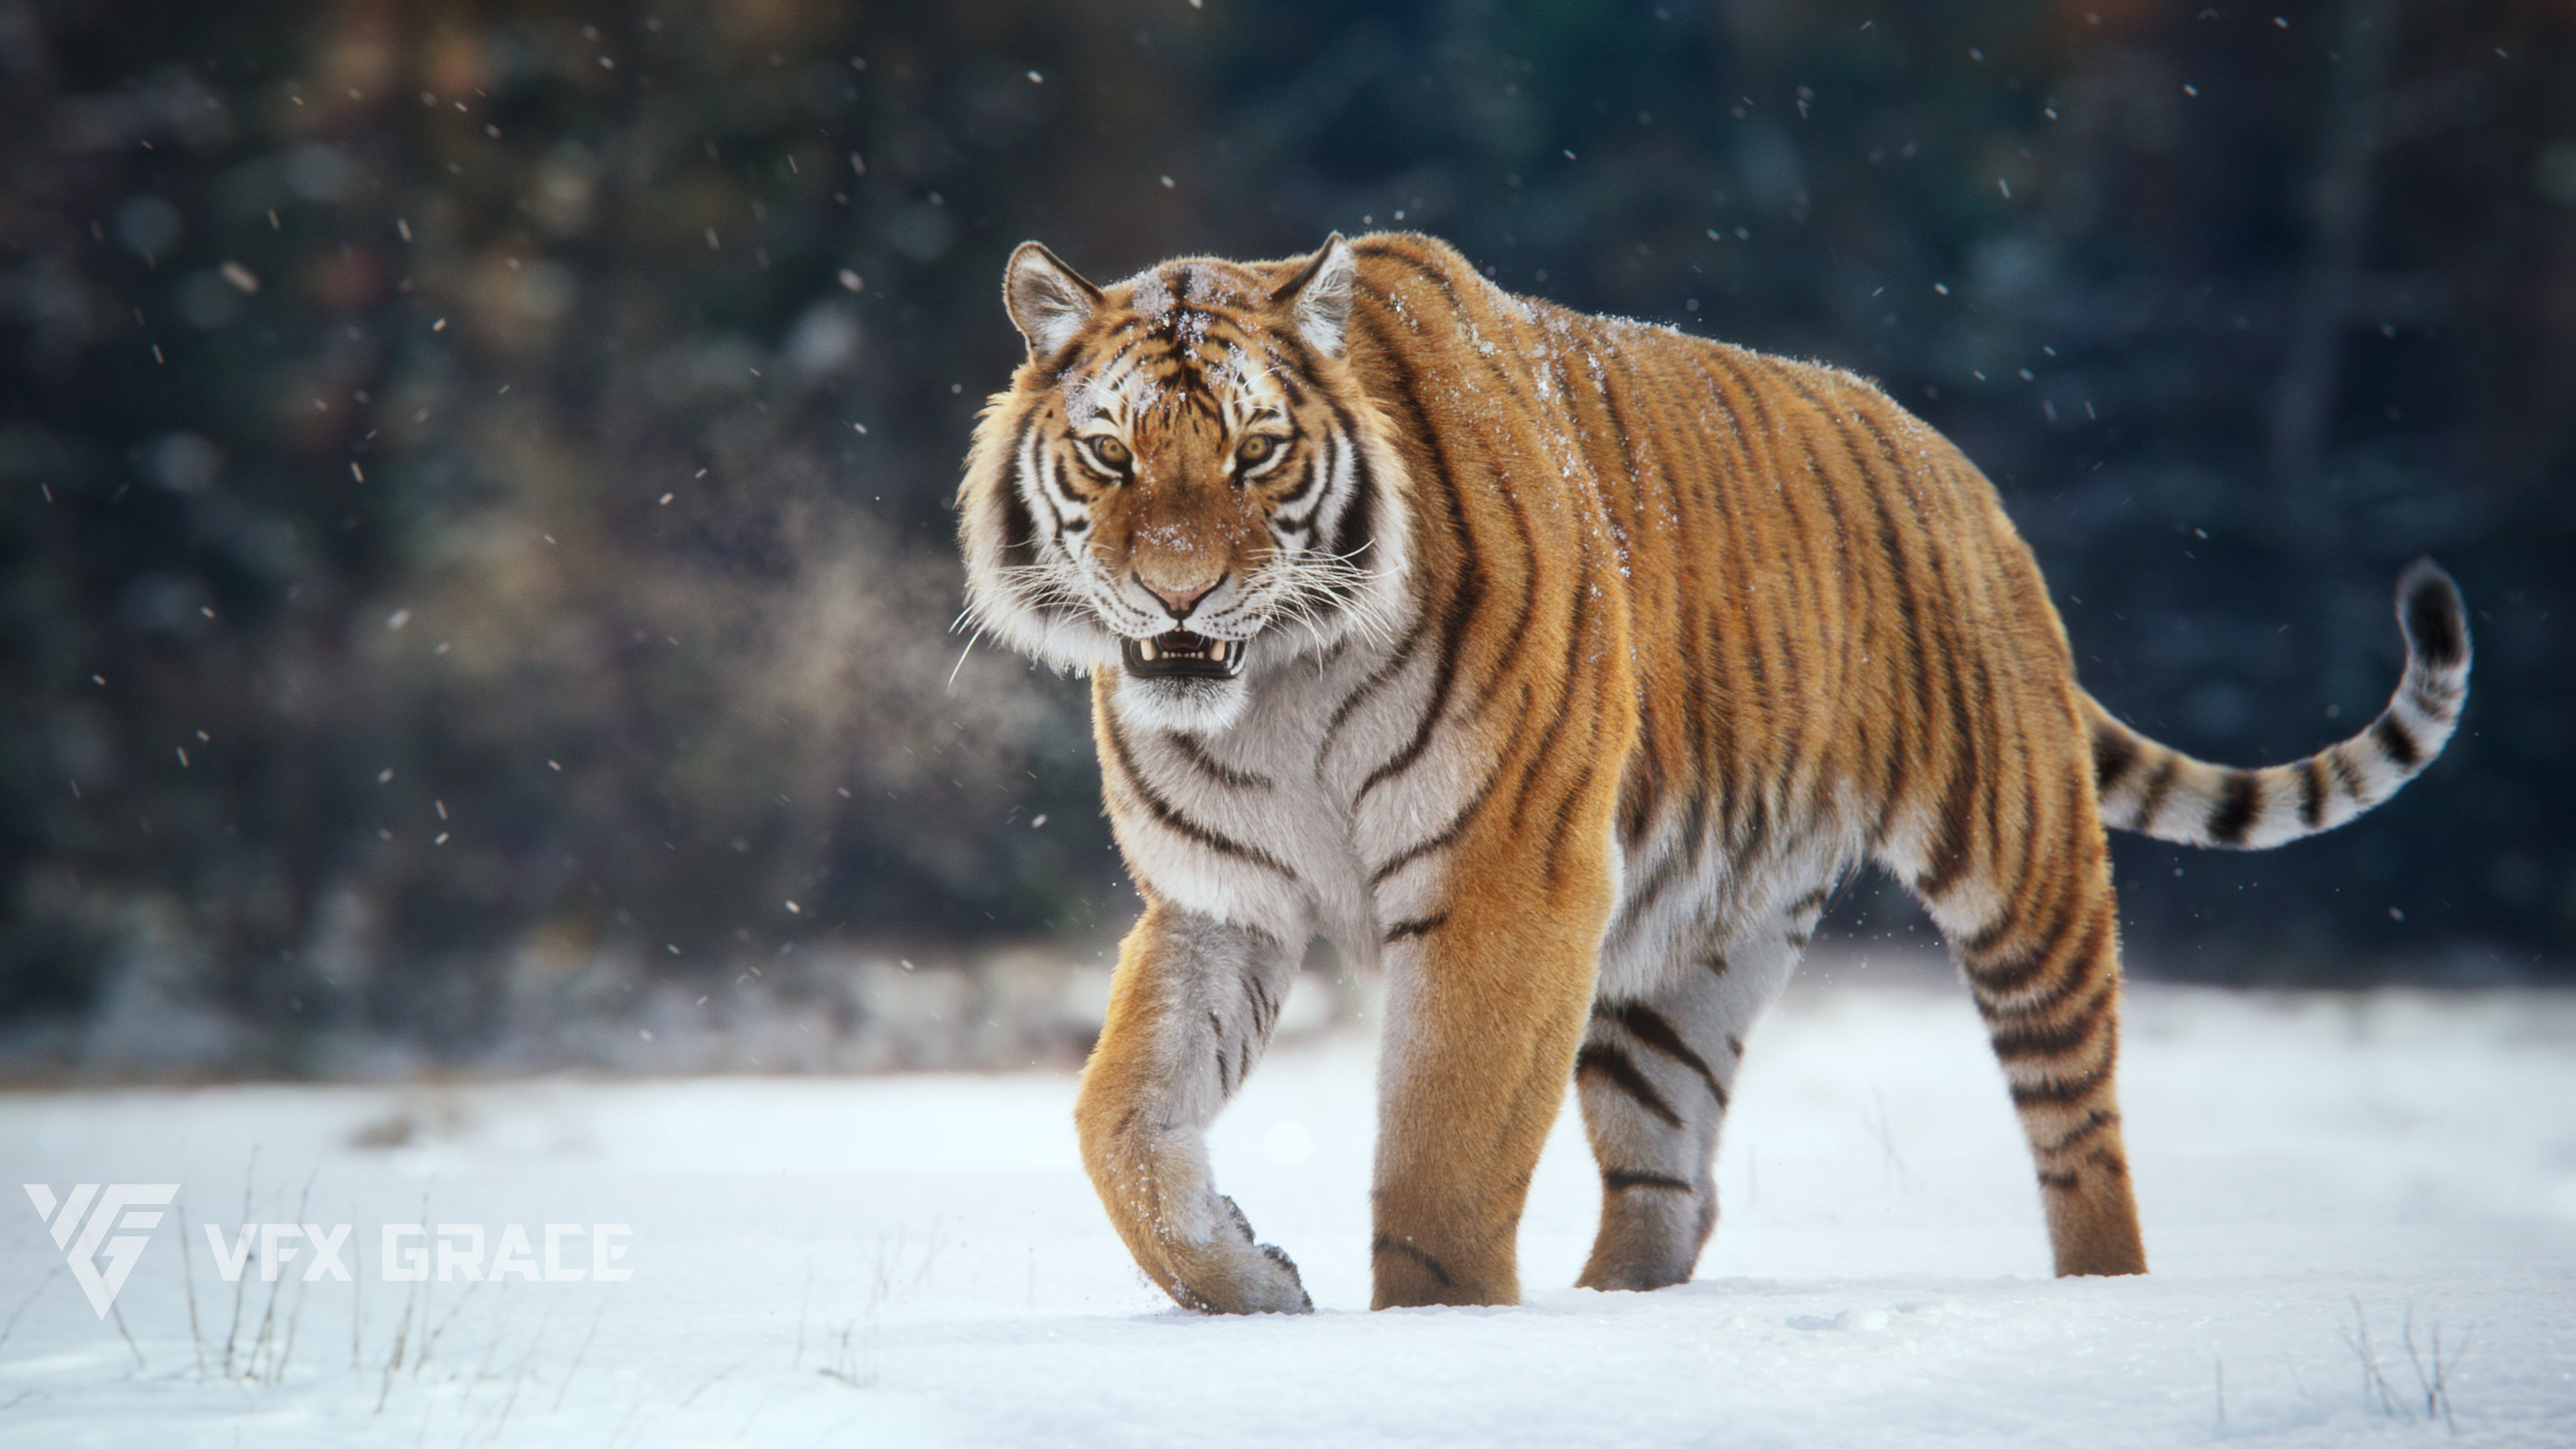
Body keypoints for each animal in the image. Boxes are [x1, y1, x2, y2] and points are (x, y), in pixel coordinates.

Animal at [954, 231, 2470, 1313]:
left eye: (1258, 453)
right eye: (1111, 453)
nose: (1179, 594)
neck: (1277, 689)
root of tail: (1955, 465)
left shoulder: (1505, 885)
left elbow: (1443, 1160)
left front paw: (1432, 1338)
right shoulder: (1225, 902)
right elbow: (1122, 1123)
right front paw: (1249, 1284)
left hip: (2019, 863)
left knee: (2083, 1138)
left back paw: (2109, 1297)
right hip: (1684, 955)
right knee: (1670, 1185)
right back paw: (1617, 1313)